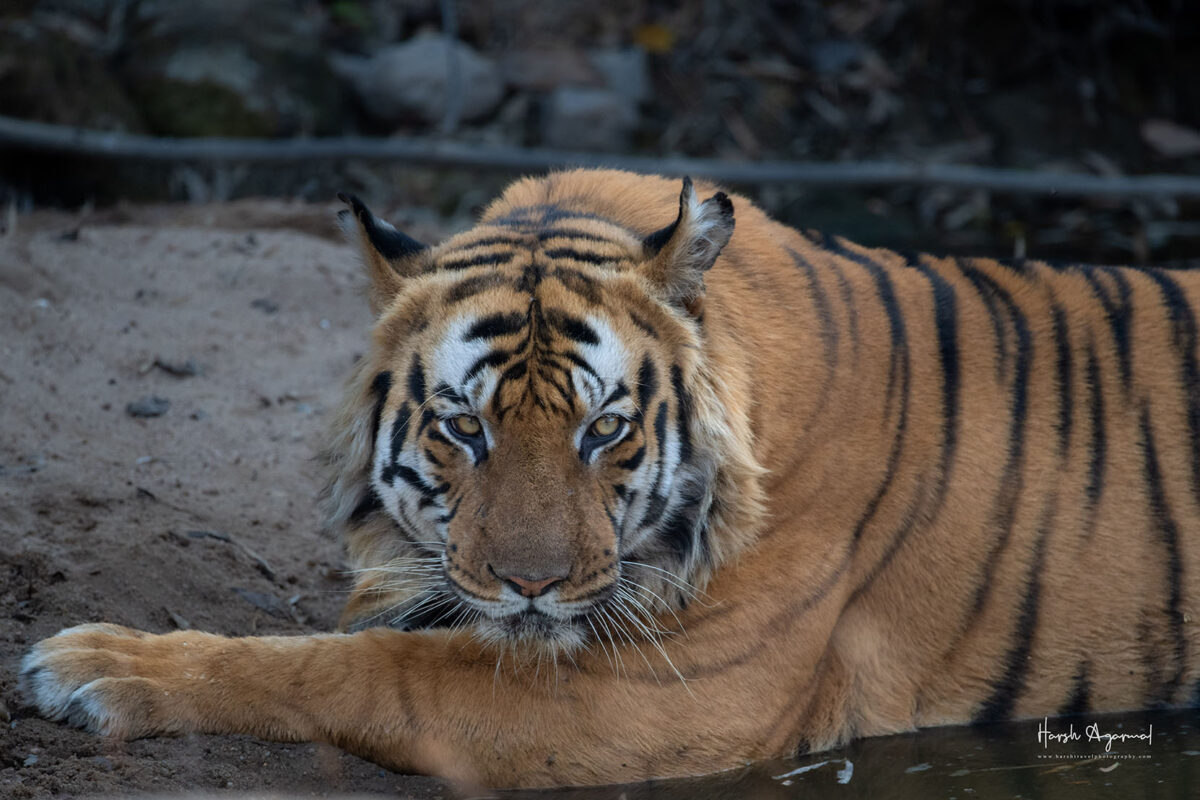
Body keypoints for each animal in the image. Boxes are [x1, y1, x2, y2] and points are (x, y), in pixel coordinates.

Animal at [19, 168, 1200, 788]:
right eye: (464, 428)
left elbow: (363, 669)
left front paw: (95, 665)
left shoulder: (673, 690)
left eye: (607, 429)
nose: (531, 586)